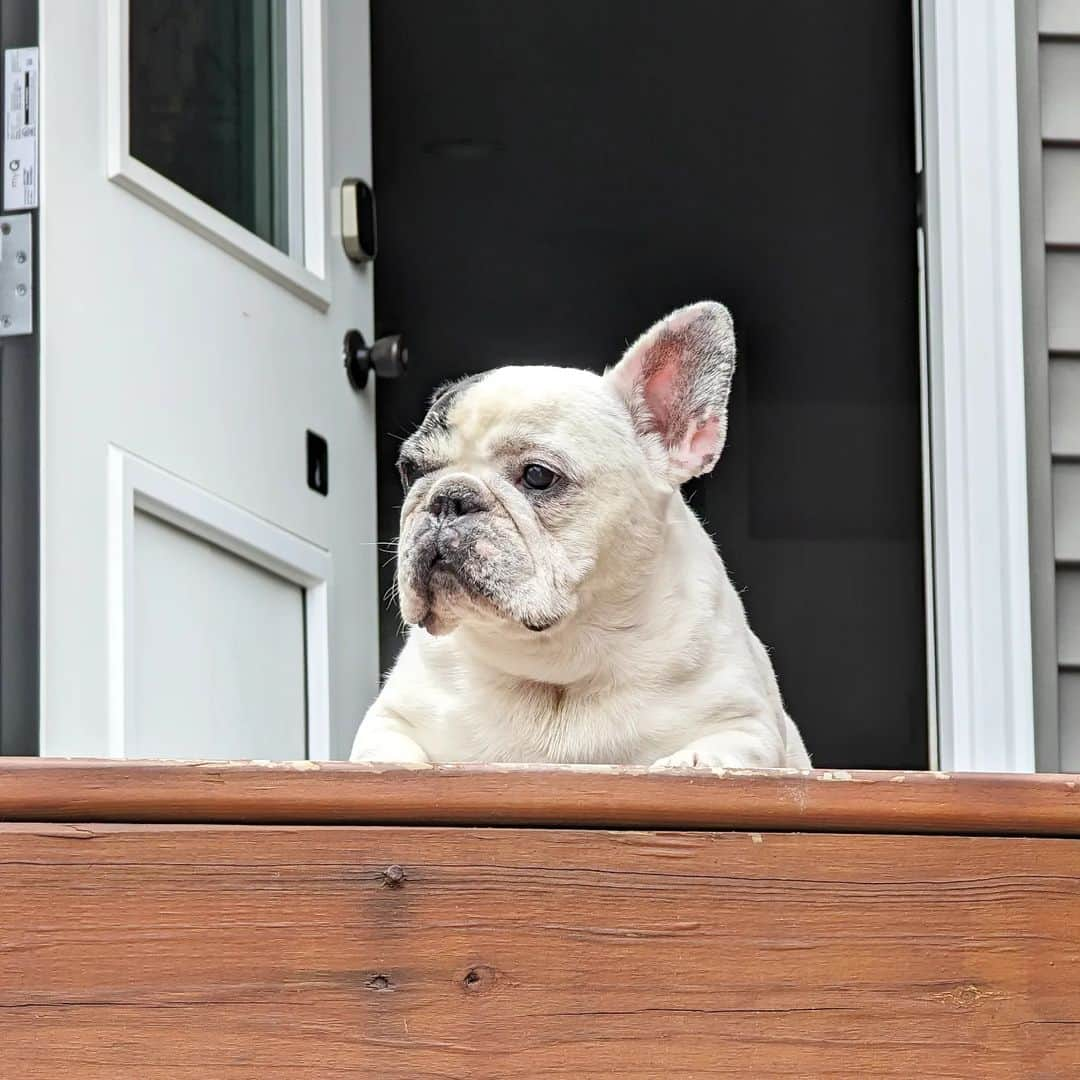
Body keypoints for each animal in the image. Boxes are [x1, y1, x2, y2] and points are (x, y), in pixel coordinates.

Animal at [352, 300, 812, 768]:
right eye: (411, 471)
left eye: (538, 476)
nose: (448, 498)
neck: (556, 664)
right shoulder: (389, 719)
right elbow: (384, 753)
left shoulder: (747, 726)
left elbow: (717, 752)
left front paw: (690, 762)